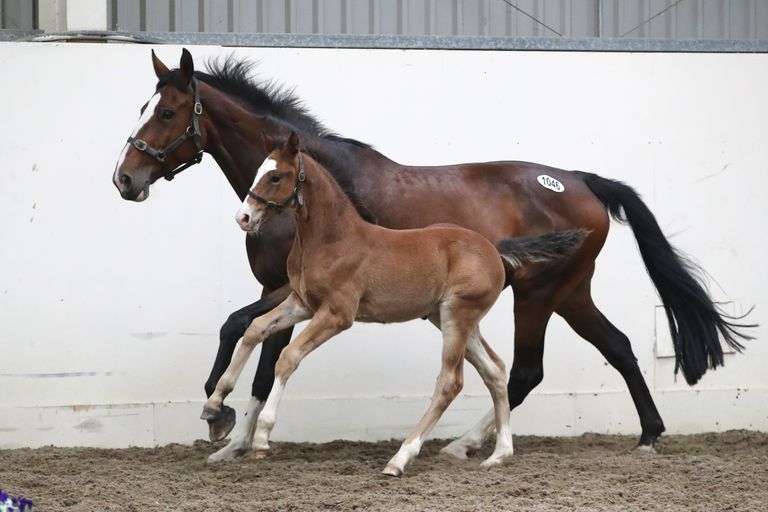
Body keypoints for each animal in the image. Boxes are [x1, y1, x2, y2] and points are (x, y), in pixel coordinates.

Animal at [203, 131, 586, 475]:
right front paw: (213, 406)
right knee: (494, 370)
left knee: (450, 382)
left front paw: (262, 437)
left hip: (457, 315)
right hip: (449, 317)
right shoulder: (301, 304)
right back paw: (499, 454)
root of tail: (495, 248)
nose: (243, 218)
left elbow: (287, 357)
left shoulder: (337, 314)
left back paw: (400, 459)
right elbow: (254, 330)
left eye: (275, 176)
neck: (331, 239)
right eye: (258, 170)